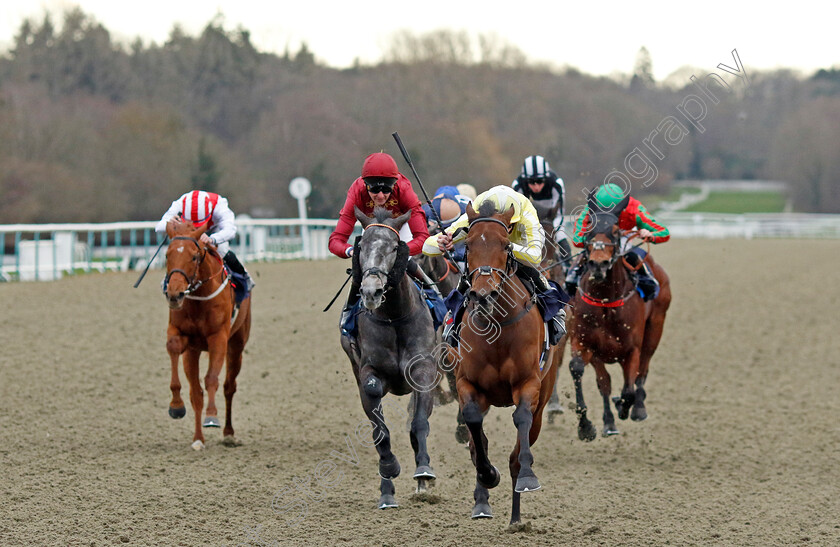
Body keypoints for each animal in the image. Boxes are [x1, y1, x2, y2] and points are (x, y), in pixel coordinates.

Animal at [165, 218, 253, 450]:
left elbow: (212, 378)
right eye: (167, 255)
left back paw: (229, 433)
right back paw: (198, 439)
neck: (199, 298)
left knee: (229, 387)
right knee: (196, 393)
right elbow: (174, 348)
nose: (174, 294)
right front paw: (176, 405)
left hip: (237, 345)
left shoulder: (218, 338)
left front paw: (212, 416)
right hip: (194, 352)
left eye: (194, 256)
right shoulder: (183, 337)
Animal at [340, 207, 440, 510]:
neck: (394, 317)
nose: (371, 291)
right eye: (361, 247)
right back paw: (387, 493)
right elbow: (379, 427)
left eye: (395, 247)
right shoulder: (367, 371)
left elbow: (419, 422)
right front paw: (389, 469)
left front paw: (423, 471)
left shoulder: (423, 368)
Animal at [452, 201, 556, 528]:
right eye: (468, 245)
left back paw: (515, 517)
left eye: (505, 245)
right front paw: (488, 474)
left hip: (544, 397)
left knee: (521, 445)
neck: (496, 327)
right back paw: (483, 501)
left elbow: (521, 420)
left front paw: (527, 478)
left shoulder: (528, 383)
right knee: (477, 443)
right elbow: (474, 425)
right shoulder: (467, 384)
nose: (483, 294)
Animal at [568, 210, 672, 440]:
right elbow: (592, 377)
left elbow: (628, 389)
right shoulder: (586, 343)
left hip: (655, 328)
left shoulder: (631, 348)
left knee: (643, 369)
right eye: (588, 227)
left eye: (616, 232)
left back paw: (638, 408)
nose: (598, 264)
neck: (606, 301)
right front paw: (589, 426)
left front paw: (625, 406)